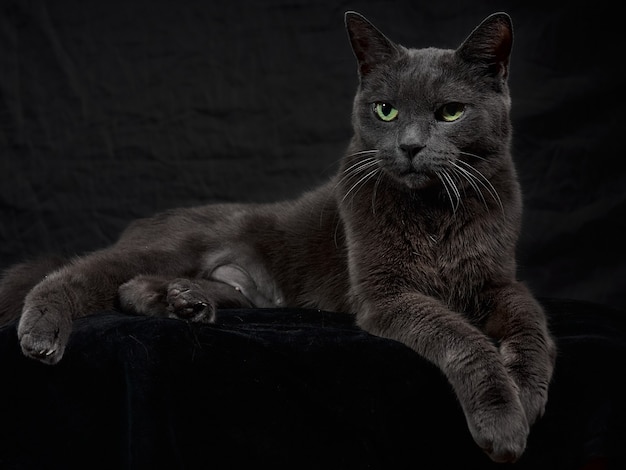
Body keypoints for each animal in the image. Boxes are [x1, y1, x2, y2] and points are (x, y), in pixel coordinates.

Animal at [1, 10, 556, 462]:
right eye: (386, 110)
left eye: (450, 112)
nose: (411, 146)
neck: (434, 212)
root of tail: (139, 226)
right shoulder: (386, 293)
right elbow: (461, 337)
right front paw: (504, 423)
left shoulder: (497, 279)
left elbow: (531, 319)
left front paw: (528, 393)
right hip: (172, 246)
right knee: (80, 272)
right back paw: (44, 332)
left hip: (249, 290)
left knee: (135, 288)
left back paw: (186, 303)